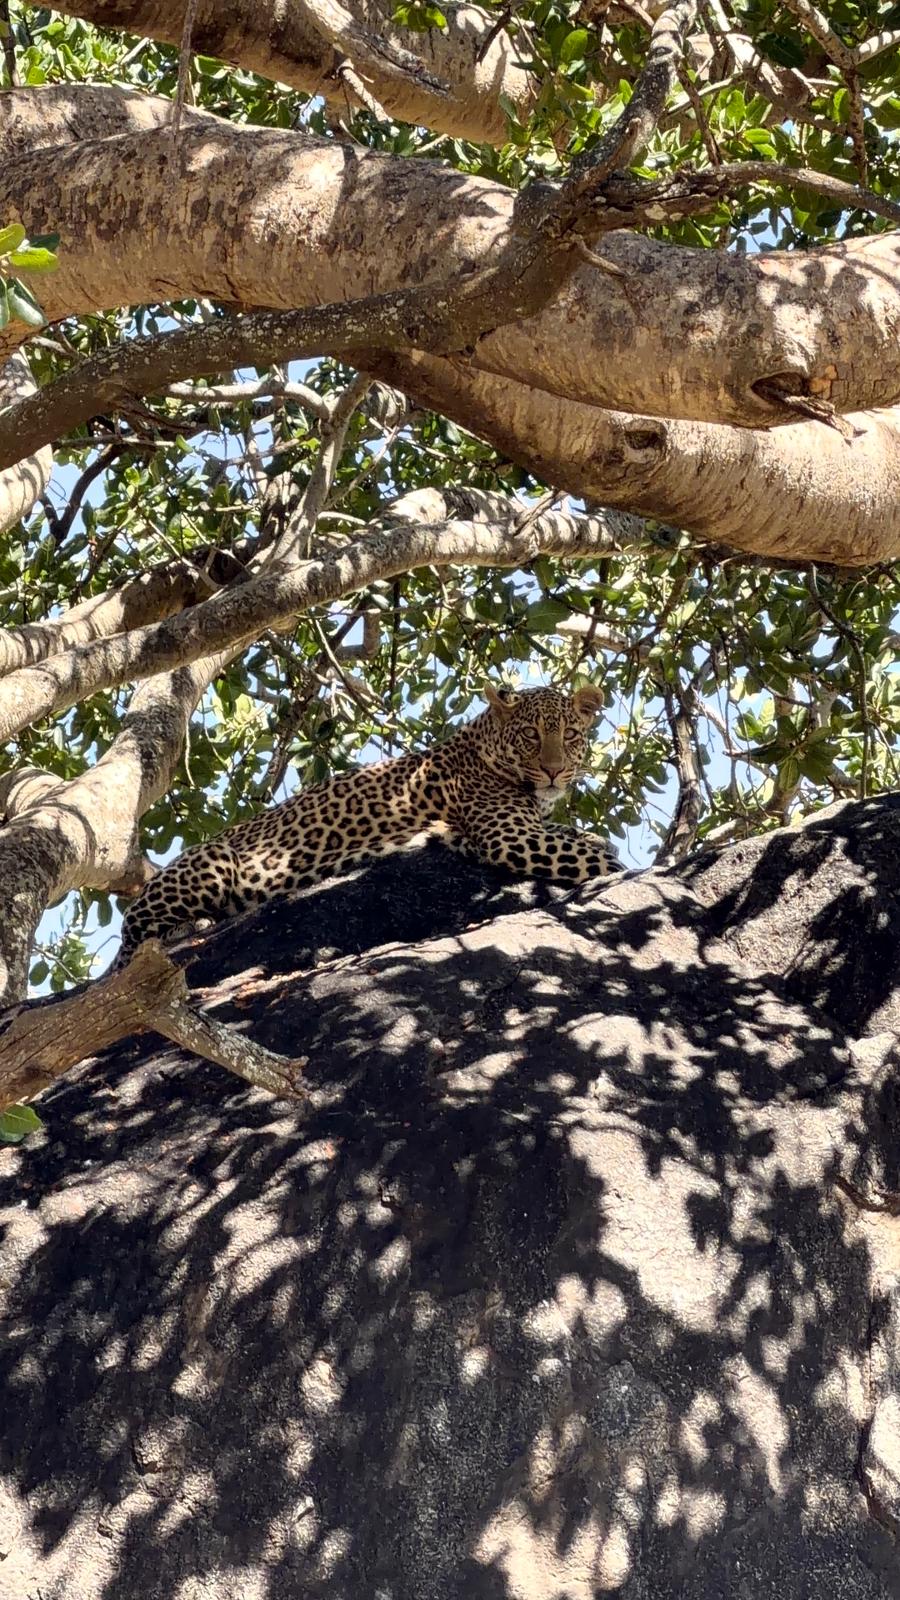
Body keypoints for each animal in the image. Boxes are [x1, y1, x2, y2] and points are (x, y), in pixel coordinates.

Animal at [114, 682, 618, 968]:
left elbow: (592, 843)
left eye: (570, 736)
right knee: (134, 933)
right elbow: (601, 858)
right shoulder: (510, 836)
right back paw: (186, 925)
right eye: (531, 735)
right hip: (213, 860)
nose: (554, 771)